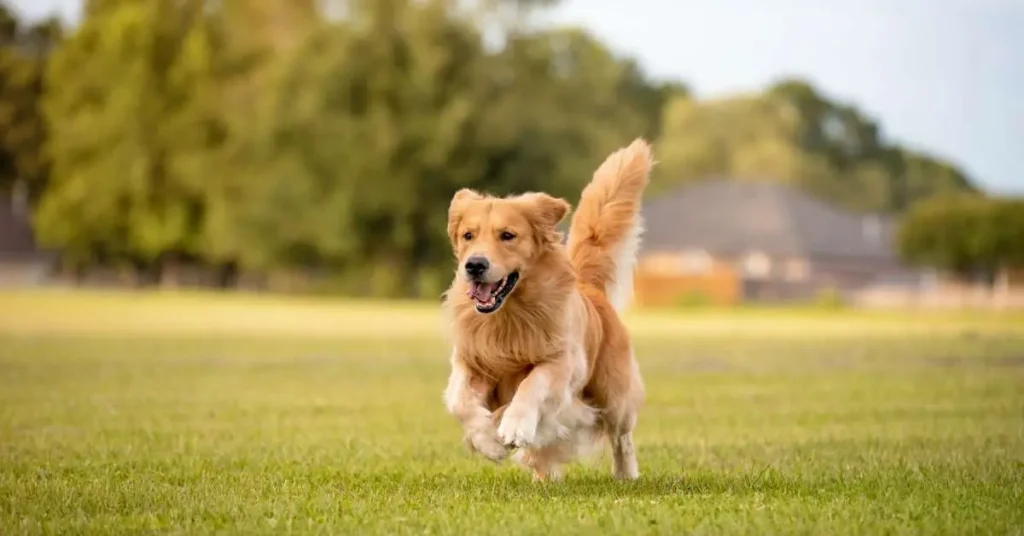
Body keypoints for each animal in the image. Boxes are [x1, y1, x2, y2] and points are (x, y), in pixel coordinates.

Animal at [442, 138, 651, 481]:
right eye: (468, 235)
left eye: (508, 235)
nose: (474, 265)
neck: (508, 315)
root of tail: (590, 289)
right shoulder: (470, 360)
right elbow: (459, 401)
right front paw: (488, 441)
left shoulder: (562, 361)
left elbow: (532, 384)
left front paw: (514, 425)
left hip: (613, 394)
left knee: (622, 436)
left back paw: (626, 474)